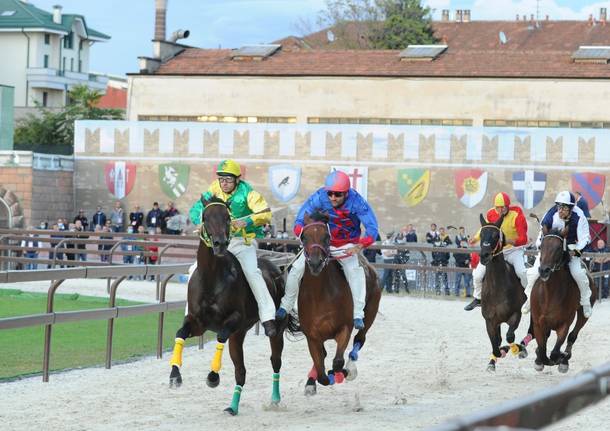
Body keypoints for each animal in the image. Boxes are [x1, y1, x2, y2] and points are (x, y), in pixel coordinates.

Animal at [166, 198, 290, 416]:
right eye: (206, 217)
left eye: (227, 217)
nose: (220, 244)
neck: (211, 277)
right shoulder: (198, 322)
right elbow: (180, 333)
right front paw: (175, 375)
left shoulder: (235, 319)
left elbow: (221, 335)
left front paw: (213, 377)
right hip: (238, 336)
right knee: (241, 372)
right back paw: (233, 407)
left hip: (274, 330)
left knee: (275, 361)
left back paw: (274, 400)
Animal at [296, 211, 380, 396]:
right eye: (304, 237)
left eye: (327, 237)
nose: (315, 263)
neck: (320, 296)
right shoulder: (312, 336)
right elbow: (321, 370)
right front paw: (314, 381)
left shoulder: (344, 328)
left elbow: (337, 362)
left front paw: (341, 373)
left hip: (370, 312)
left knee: (360, 338)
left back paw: (350, 369)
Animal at [478, 213, 528, 372]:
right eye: (481, 234)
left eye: (495, 235)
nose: (484, 255)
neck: (497, 289)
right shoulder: (490, 321)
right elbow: (496, 344)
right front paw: (493, 360)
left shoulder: (515, 314)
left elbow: (510, 337)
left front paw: (518, 349)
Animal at [528, 228, 596, 372]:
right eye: (541, 246)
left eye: (559, 248)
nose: (544, 270)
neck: (550, 295)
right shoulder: (538, 323)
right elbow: (542, 351)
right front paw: (539, 359)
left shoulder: (564, 323)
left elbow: (554, 352)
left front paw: (561, 358)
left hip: (583, 314)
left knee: (573, 334)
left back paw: (565, 358)